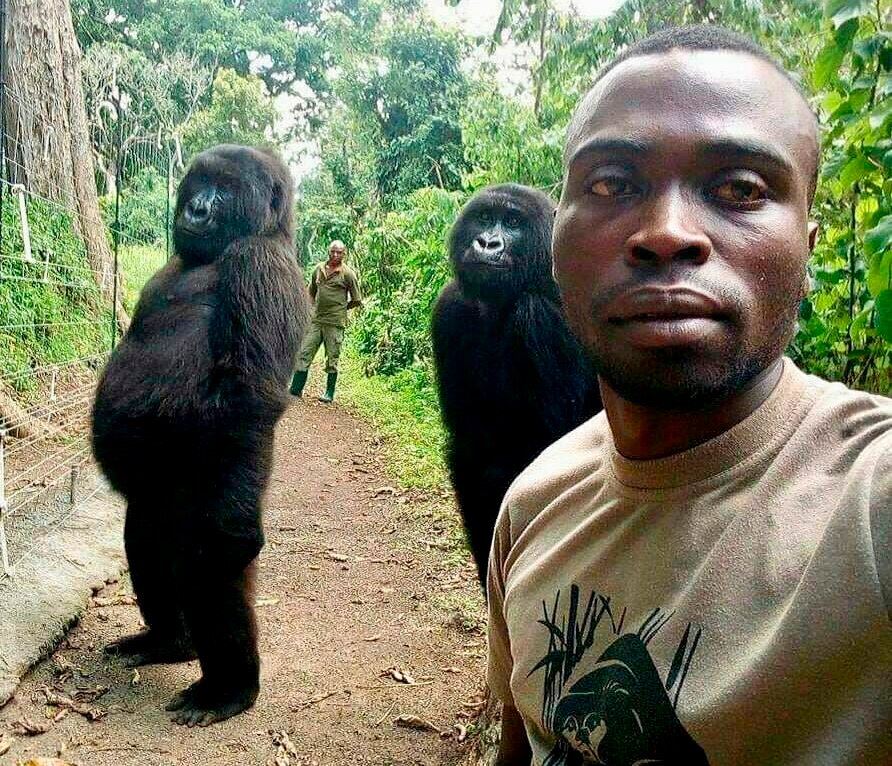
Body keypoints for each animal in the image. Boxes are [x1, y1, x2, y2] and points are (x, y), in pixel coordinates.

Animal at [91, 144, 309, 726]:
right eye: (200, 182)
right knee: (145, 538)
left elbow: (249, 398)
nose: (197, 208)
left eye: (227, 190)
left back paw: (229, 689)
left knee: (211, 562)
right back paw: (168, 641)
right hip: (156, 502)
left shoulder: (261, 265)